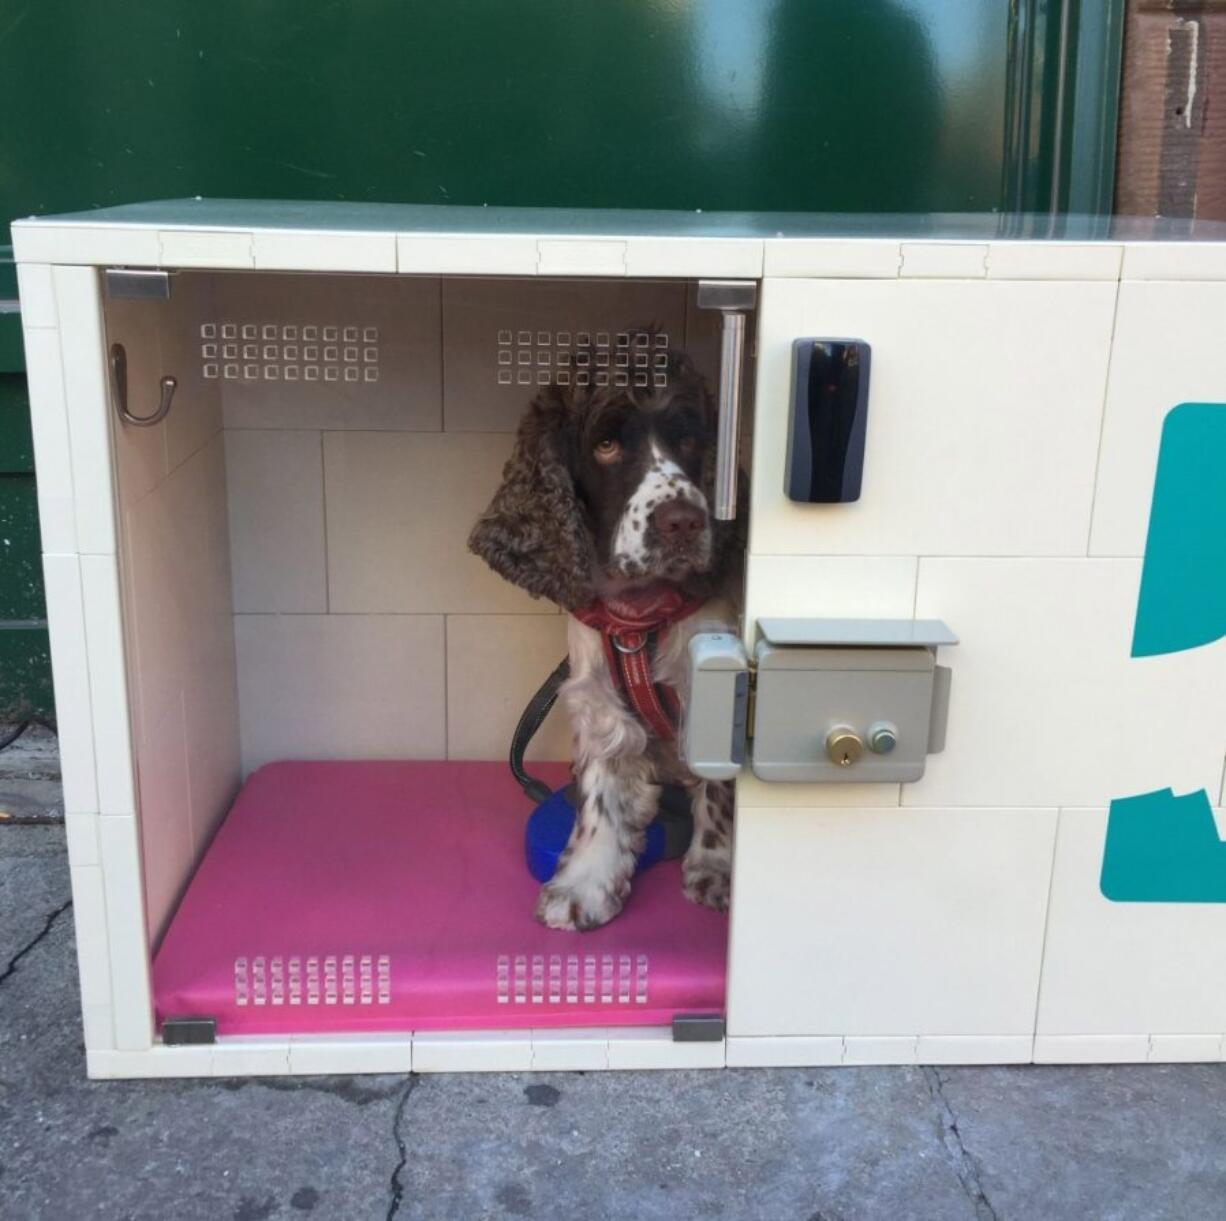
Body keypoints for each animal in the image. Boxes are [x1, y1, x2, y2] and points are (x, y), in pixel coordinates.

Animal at [468, 338, 740, 931]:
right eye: (607, 444)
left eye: (690, 437)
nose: (683, 522)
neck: (640, 616)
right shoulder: (597, 699)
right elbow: (601, 797)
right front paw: (583, 885)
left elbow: (721, 785)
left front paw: (720, 867)